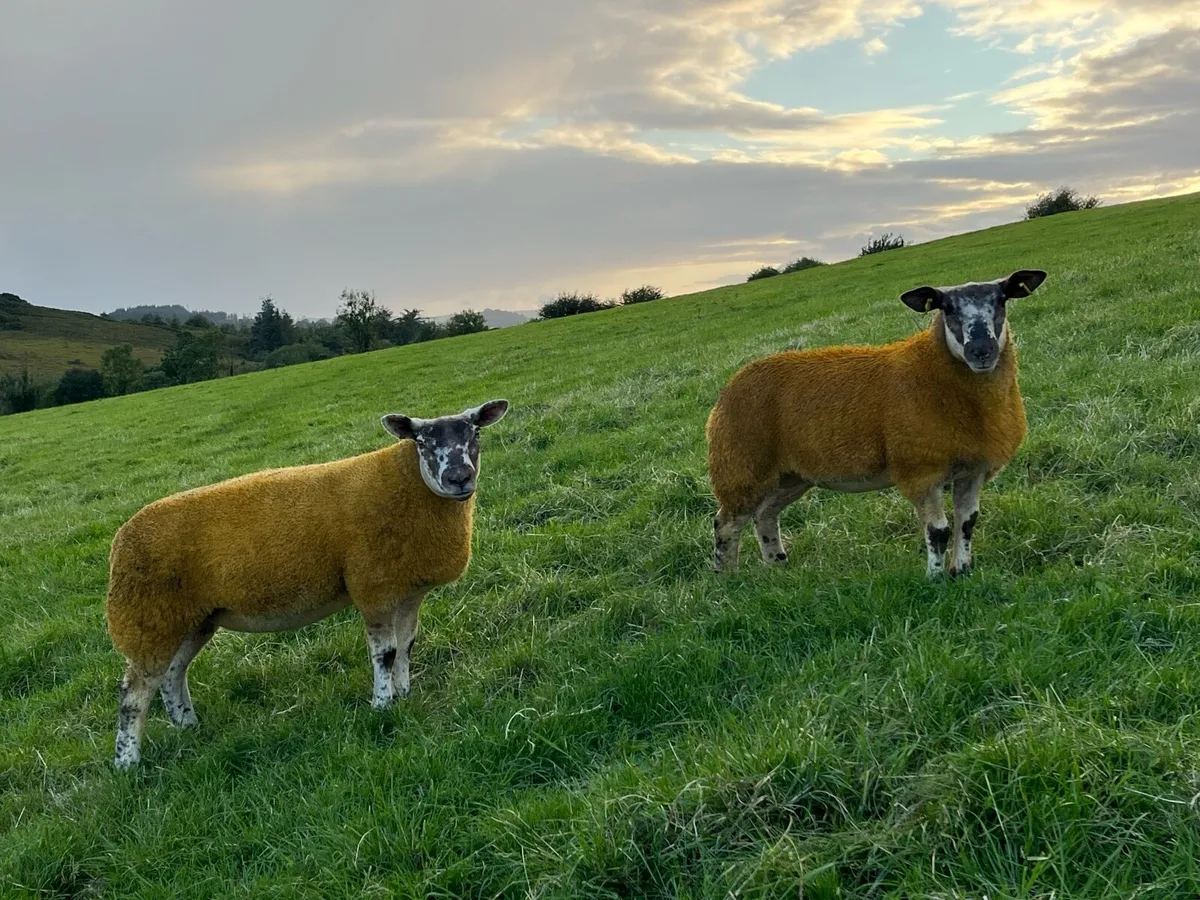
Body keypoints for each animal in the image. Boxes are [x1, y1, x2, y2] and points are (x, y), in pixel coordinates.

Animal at [105, 399, 510, 769]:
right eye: (422, 442)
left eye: (475, 433)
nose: (459, 477)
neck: (405, 484)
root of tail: (119, 541)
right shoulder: (372, 587)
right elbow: (385, 653)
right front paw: (382, 706)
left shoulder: (409, 592)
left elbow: (406, 647)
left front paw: (404, 693)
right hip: (148, 619)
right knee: (133, 695)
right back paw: (127, 763)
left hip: (191, 618)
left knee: (172, 675)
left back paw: (188, 726)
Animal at [706, 269, 1046, 579]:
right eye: (947, 308)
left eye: (1001, 300)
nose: (981, 351)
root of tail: (729, 387)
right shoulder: (920, 471)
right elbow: (938, 531)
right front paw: (936, 580)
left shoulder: (973, 468)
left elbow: (967, 523)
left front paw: (961, 572)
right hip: (741, 466)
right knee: (726, 523)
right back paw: (728, 578)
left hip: (791, 475)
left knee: (765, 515)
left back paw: (778, 566)